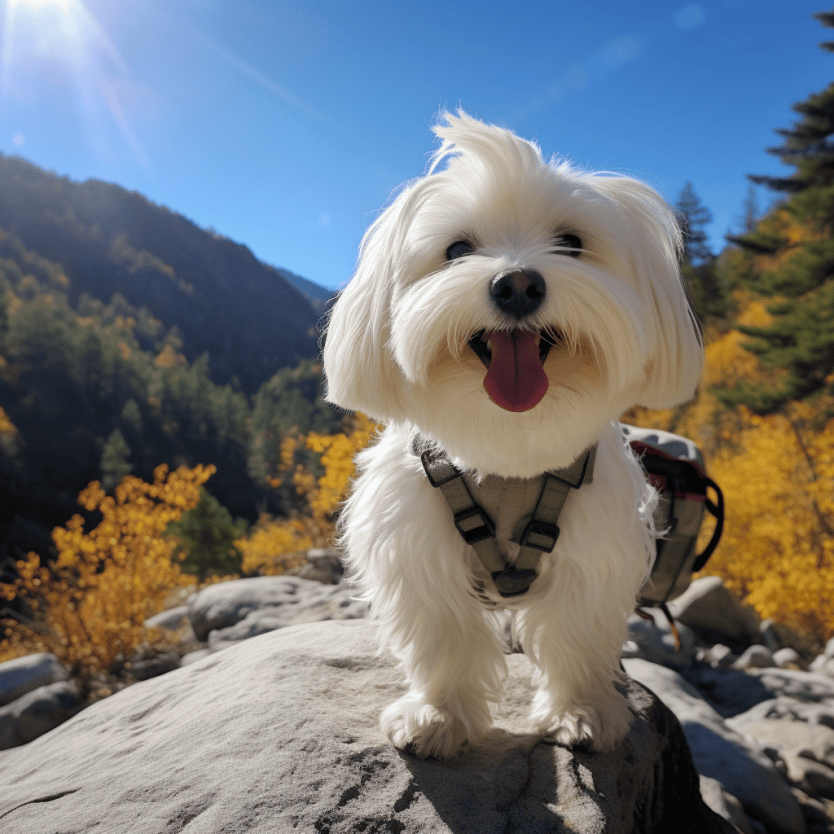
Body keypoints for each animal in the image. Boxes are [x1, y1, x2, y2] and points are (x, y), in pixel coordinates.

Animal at [322, 112, 700, 760]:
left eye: (571, 243)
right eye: (457, 250)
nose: (517, 284)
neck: (508, 446)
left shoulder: (594, 550)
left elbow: (576, 633)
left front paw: (580, 713)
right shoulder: (416, 545)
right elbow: (443, 634)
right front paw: (437, 718)